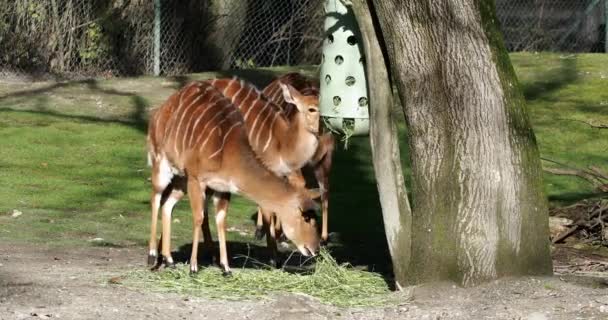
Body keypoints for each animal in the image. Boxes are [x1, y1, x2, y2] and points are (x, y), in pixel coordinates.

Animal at [146, 81, 324, 274]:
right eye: (306, 217)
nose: (314, 249)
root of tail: (161, 110)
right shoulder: (197, 179)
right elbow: (199, 217)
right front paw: (194, 267)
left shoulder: (222, 187)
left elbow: (221, 220)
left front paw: (226, 267)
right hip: (162, 165)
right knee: (156, 199)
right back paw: (153, 256)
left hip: (181, 177)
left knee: (168, 203)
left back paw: (169, 259)